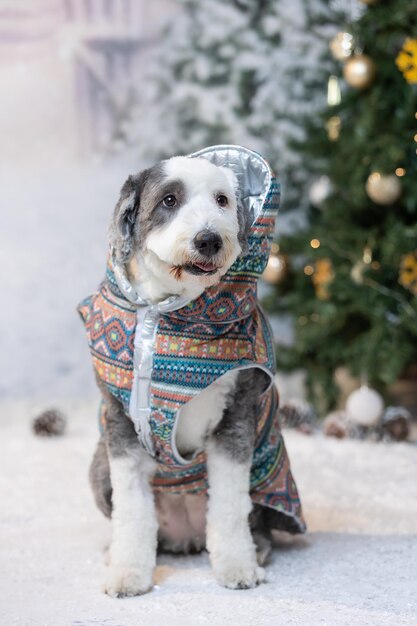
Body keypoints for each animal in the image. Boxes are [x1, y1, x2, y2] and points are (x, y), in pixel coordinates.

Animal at [79, 145, 304, 596]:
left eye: (222, 200)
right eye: (169, 200)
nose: (209, 238)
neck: (164, 313)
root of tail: (185, 537)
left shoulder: (236, 417)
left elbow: (230, 507)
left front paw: (237, 569)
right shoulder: (120, 425)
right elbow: (132, 510)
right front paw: (128, 574)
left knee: (250, 519)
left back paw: (258, 550)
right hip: (98, 467)